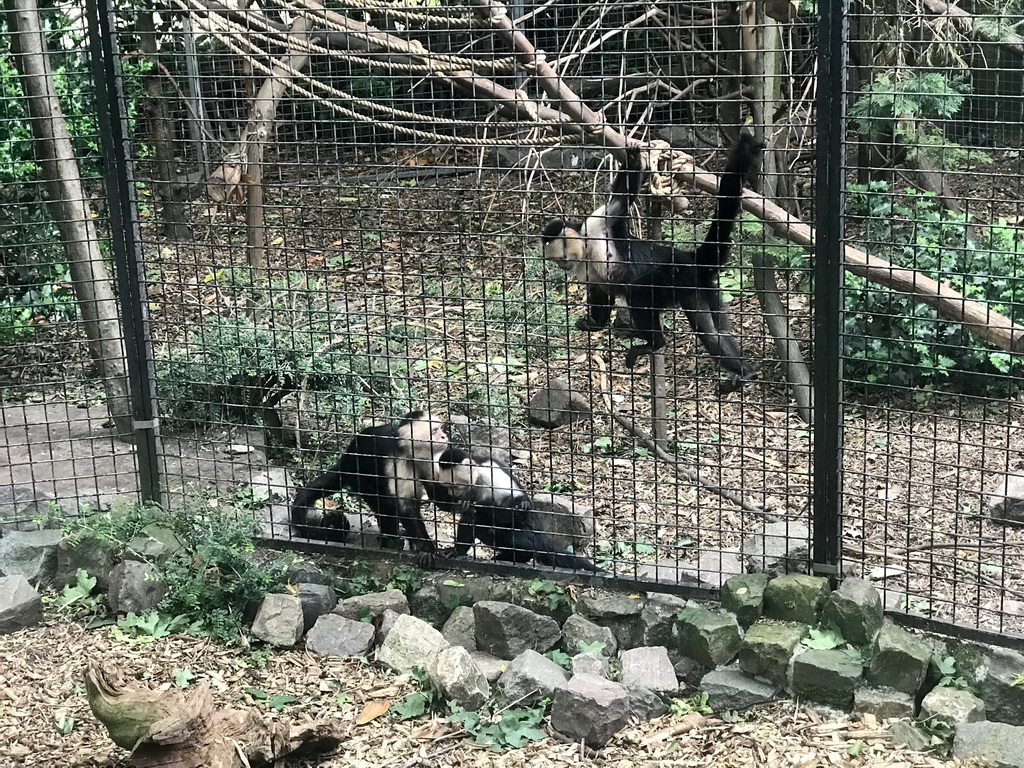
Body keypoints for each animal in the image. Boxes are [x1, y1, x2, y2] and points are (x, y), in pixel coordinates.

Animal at [288, 411, 448, 561]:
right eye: (434, 431)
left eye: (440, 429)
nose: (445, 436)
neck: (409, 451)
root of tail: (345, 460)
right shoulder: (396, 460)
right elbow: (404, 506)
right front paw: (427, 549)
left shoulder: (428, 458)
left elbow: (437, 496)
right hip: (357, 474)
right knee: (384, 502)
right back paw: (391, 540)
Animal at [432, 444, 598, 573]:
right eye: (447, 487)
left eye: (454, 486)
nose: (451, 493)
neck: (477, 478)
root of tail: (542, 537)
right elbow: (448, 506)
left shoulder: (491, 475)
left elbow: (516, 505)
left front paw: (479, 506)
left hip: (530, 536)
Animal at [540, 132, 765, 393]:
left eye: (559, 258)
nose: (560, 266)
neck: (585, 248)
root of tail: (689, 259)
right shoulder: (582, 269)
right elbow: (601, 291)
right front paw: (595, 324)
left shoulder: (595, 224)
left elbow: (621, 201)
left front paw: (633, 159)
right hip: (696, 287)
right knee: (711, 334)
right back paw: (745, 371)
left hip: (673, 276)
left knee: (638, 292)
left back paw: (654, 343)